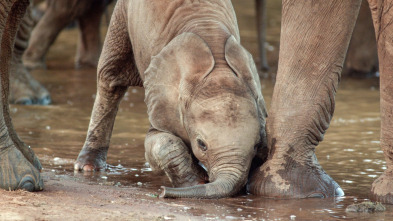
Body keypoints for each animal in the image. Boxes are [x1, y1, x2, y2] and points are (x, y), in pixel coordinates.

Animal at [73, 0, 266, 199]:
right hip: (123, 14)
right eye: (202, 145)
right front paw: (196, 182)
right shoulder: (163, 103)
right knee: (110, 78)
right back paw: (88, 167)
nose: (163, 193)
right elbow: (158, 141)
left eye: (256, 145)